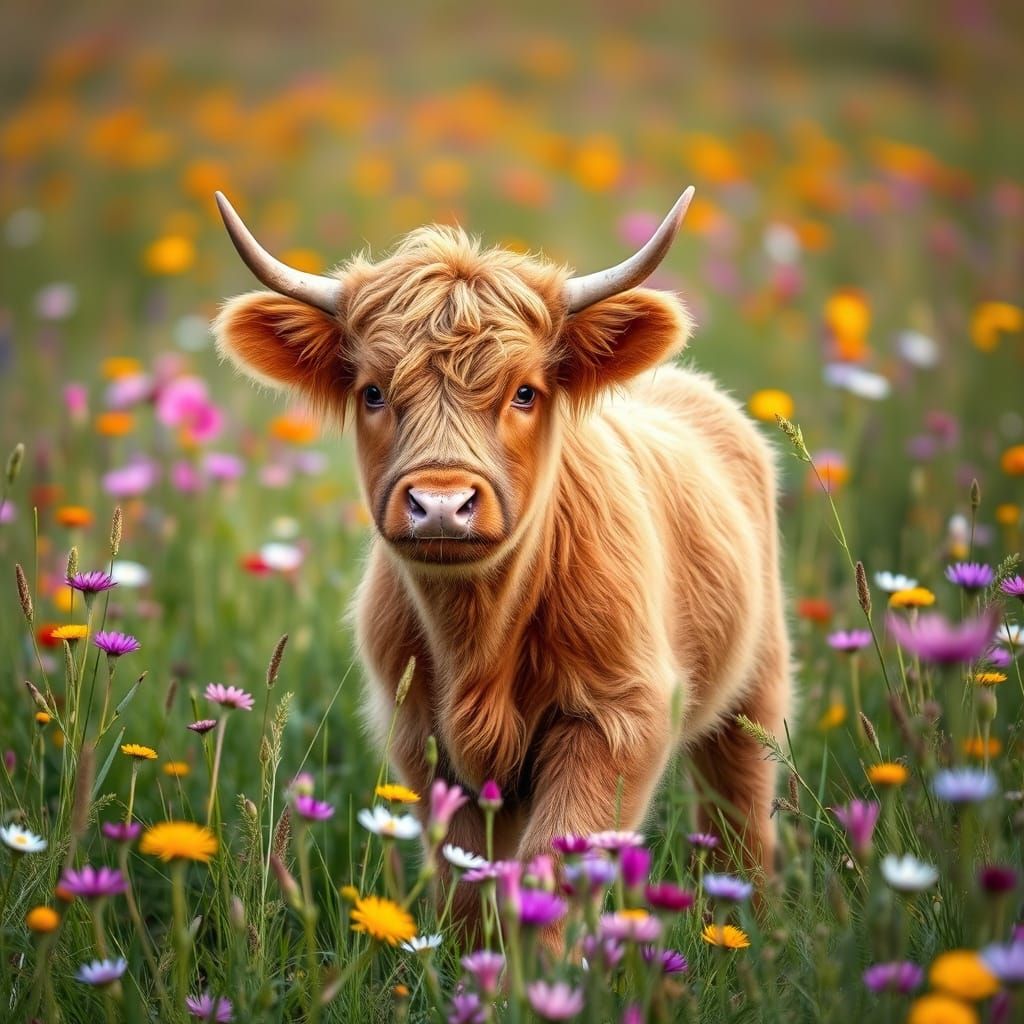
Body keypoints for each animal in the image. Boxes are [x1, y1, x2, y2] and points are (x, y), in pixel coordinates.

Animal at [213, 187, 792, 931]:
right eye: (373, 392)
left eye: (523, 392)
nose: (440, 503)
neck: (478, 634)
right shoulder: (422, 736)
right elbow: (465, 881)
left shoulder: (617, 716)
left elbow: (560, 860)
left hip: (757, 684)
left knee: (741, 804)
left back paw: (748, 920)